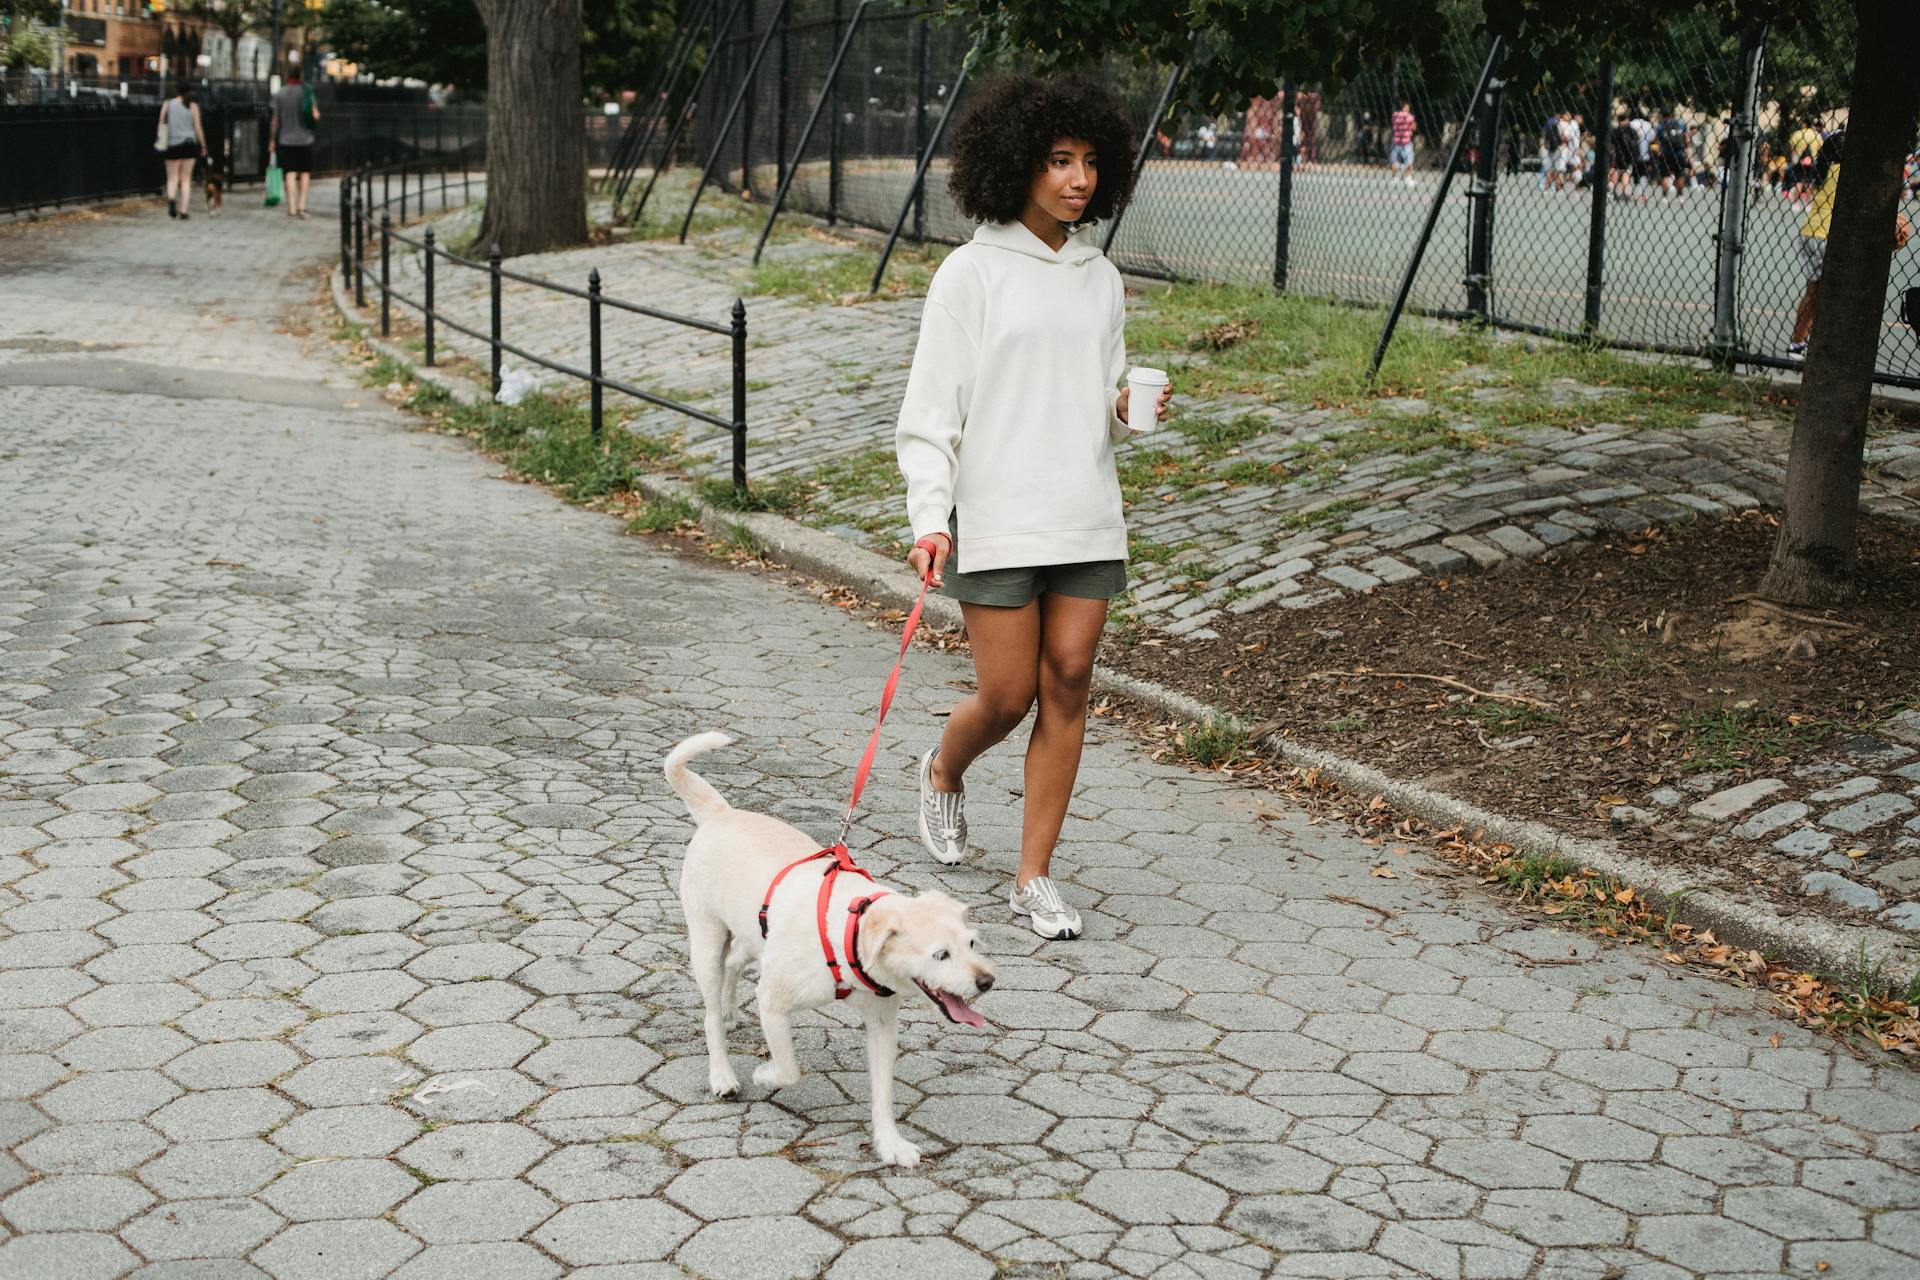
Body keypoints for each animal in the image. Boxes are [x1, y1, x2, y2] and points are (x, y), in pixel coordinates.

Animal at [664, 736, 998, 1166]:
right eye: (940, 955)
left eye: (971, 943)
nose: (987, 981)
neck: (850, 930)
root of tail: (721, 814)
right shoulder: (773, 1001)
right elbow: (789, 1068)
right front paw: (764, 1075)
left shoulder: (882, 1024)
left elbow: (883, 1093)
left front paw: (889, 1143)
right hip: (706, 940)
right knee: (709, 1014)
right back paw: (722, 1072)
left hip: (755, 937)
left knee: (735, 962)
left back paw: (729, 1011)